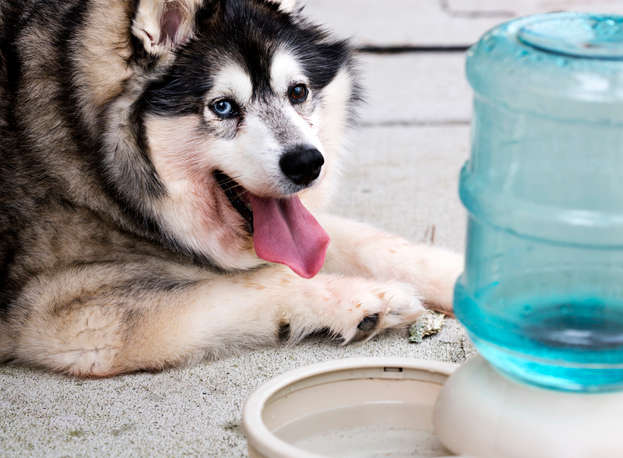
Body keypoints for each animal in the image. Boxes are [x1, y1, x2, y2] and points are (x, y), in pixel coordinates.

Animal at [0, 0, 464, 376]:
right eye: (222, 107)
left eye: (298, 92)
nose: (308, 163)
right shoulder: (72, 319)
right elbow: (263, 279)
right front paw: (361, 297)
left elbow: (372, 242)